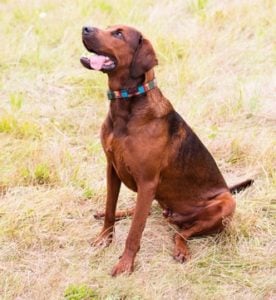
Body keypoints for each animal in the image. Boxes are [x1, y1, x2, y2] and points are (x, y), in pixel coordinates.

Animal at [79, 25, 252, 276]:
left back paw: (182, 249)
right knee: (145, 212)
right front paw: (104, 238)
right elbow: (111, 209)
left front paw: (125, 264)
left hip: (226, 205)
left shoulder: (147, 181)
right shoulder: (112, 169)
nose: (85, 28)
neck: (127, 105)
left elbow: (135, 232)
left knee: (180, 233)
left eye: (118, 34)